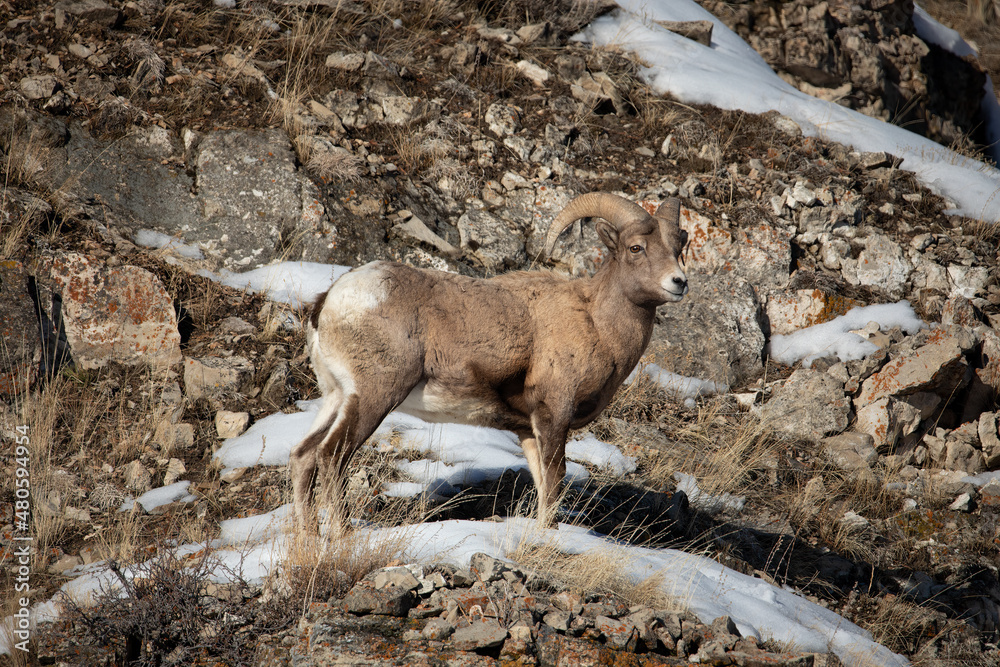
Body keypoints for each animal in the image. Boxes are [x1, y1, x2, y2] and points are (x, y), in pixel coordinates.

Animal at [292, 192, 688, 532]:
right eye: (636, 247)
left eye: (678, 247)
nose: (679, 282)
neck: (596, 323)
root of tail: (331, 300)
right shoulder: (554, 416)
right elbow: (554, 482)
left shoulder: (528, 429)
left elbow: (543, 486)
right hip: (375, 396)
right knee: (331, 456)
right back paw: (342, 537)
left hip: (337, 397)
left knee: (303, 456)